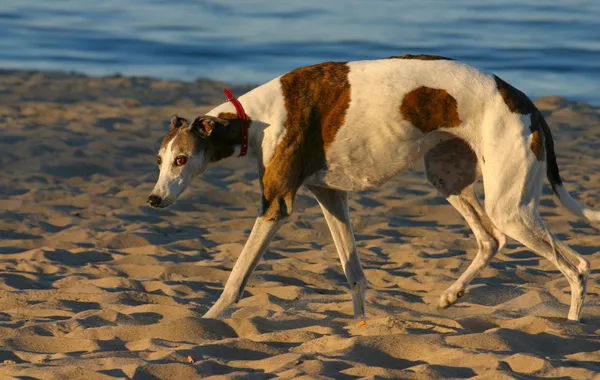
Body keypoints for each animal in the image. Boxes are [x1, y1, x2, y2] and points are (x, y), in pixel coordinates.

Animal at [148, 53, 596, 320]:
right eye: (159, 160)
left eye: (181, 159)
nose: (154, 199)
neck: (255, 116)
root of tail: (527, 103)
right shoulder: (330, 195)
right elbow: (354, 275)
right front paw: (360, 328)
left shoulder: (276, 202)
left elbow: (237, 275)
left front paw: (211, 318)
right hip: (448, 177)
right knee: (491, 240)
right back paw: (451, 296)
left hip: (511, 206)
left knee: (576, 266)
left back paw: (570, 328)